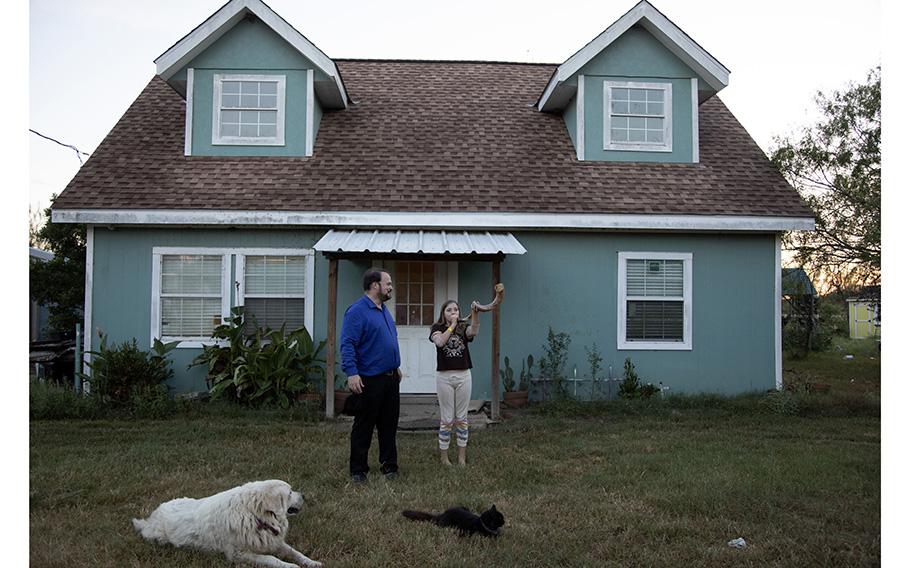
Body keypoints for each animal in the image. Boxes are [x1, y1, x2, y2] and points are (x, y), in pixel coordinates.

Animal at [133, 480, 324, 568]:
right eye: (290, 492)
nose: (304, 495)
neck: (253, 515)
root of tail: (152, 515)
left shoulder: (272, 541)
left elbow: (295, 552)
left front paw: (312, 562)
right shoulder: (239, 554)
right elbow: (272, 559)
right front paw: (290, 566)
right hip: (159, 537)